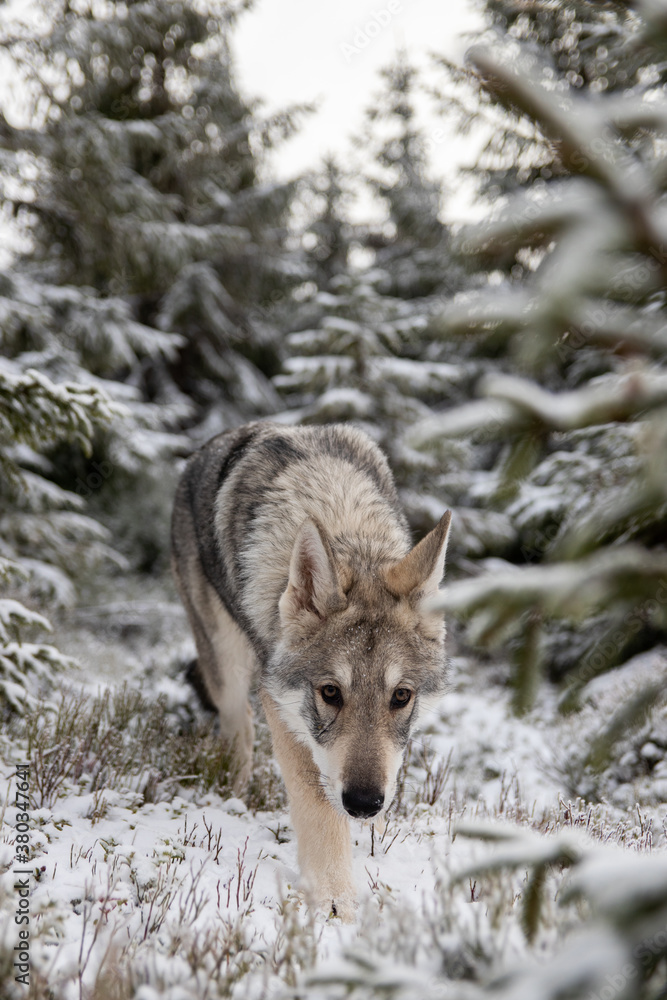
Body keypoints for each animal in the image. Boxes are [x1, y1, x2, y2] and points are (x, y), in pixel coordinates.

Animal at [171, 421, 451, 920]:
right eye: (330, 693)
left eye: (401, 696)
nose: (363, 804)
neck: (340, 519)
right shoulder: (284, 710)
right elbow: (319, 808)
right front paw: (336, 901)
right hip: (228, 667)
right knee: (238, 727)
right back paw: (233, 799)